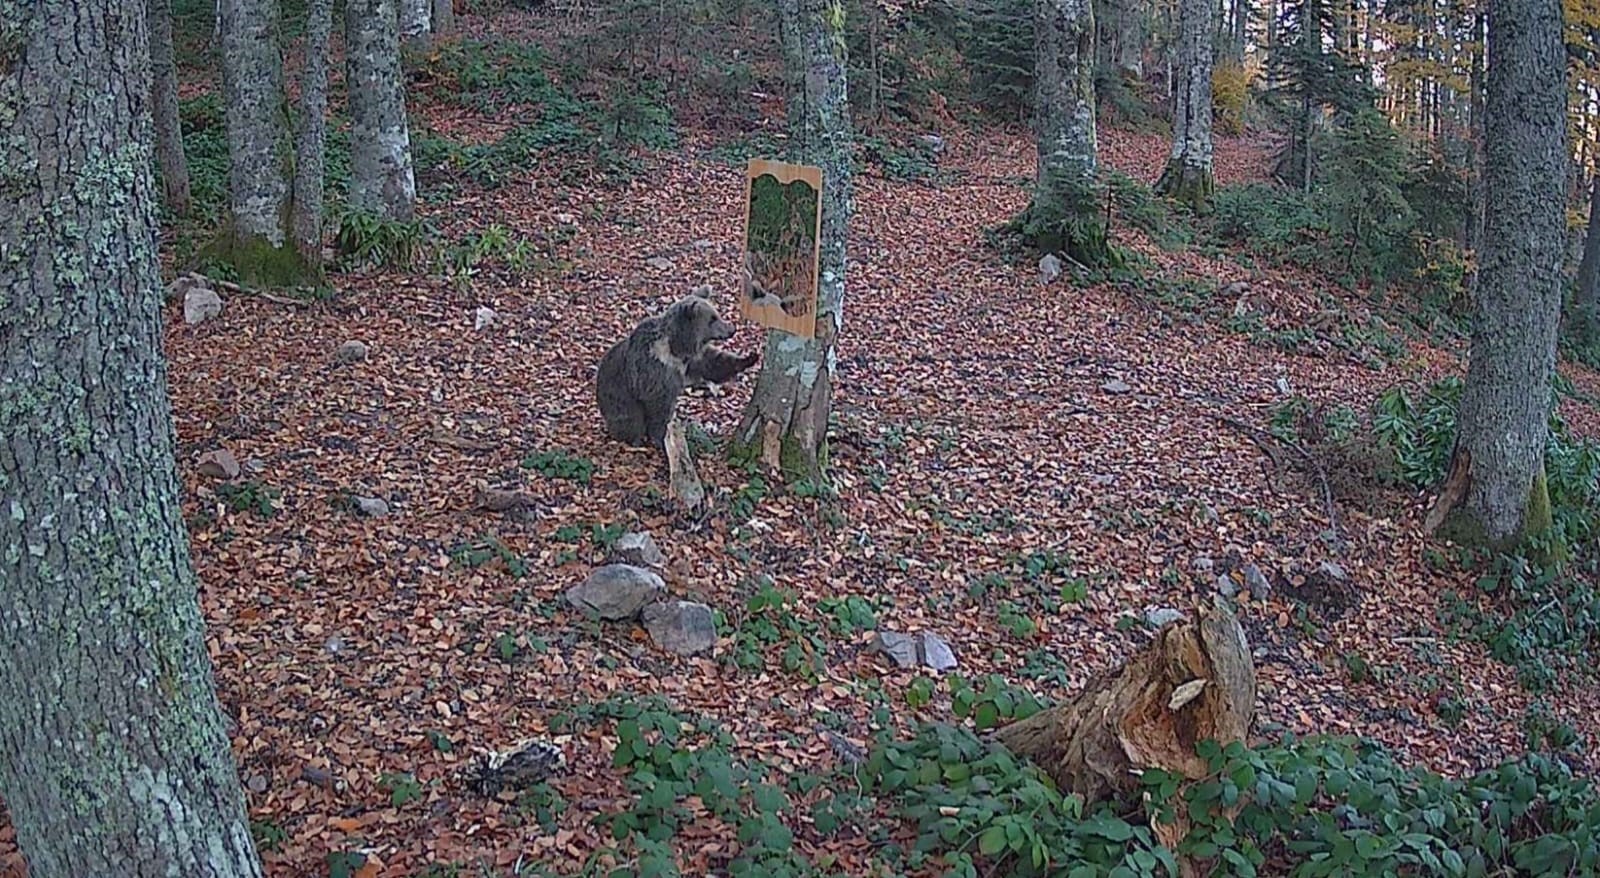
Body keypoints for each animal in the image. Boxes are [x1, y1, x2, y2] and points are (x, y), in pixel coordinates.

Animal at [598, 291, 758, 450]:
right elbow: (659, 405)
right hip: (620, 395)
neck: (676, 347)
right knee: (630, 418)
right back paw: (634, 439)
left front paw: (750, 358)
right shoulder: (655, 370)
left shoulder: (690, 361)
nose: (731, 329)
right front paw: (662, 439)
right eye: (712, 319)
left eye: (716, 314)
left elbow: (713, 364)